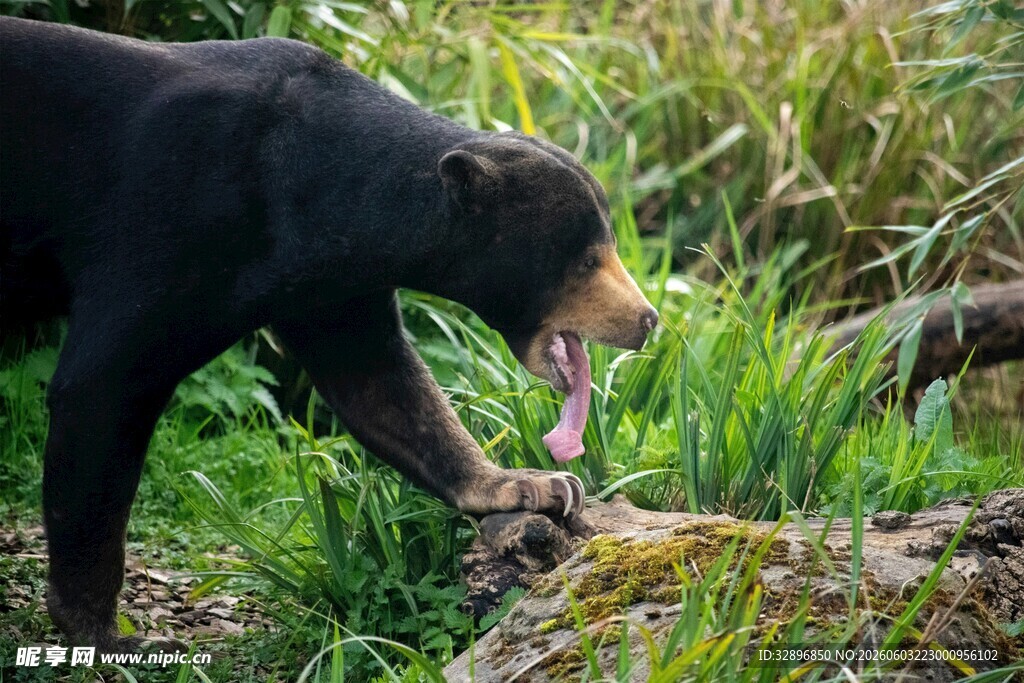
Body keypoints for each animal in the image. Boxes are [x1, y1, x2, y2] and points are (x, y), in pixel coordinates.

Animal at [0, 16, 657, 652]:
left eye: (610, 245)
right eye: (586, 260)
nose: (647, 320)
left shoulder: (330, 284)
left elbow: (380, 384)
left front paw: (537, 485)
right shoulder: (165, 218)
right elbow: (101, 383)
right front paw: (103, 630)